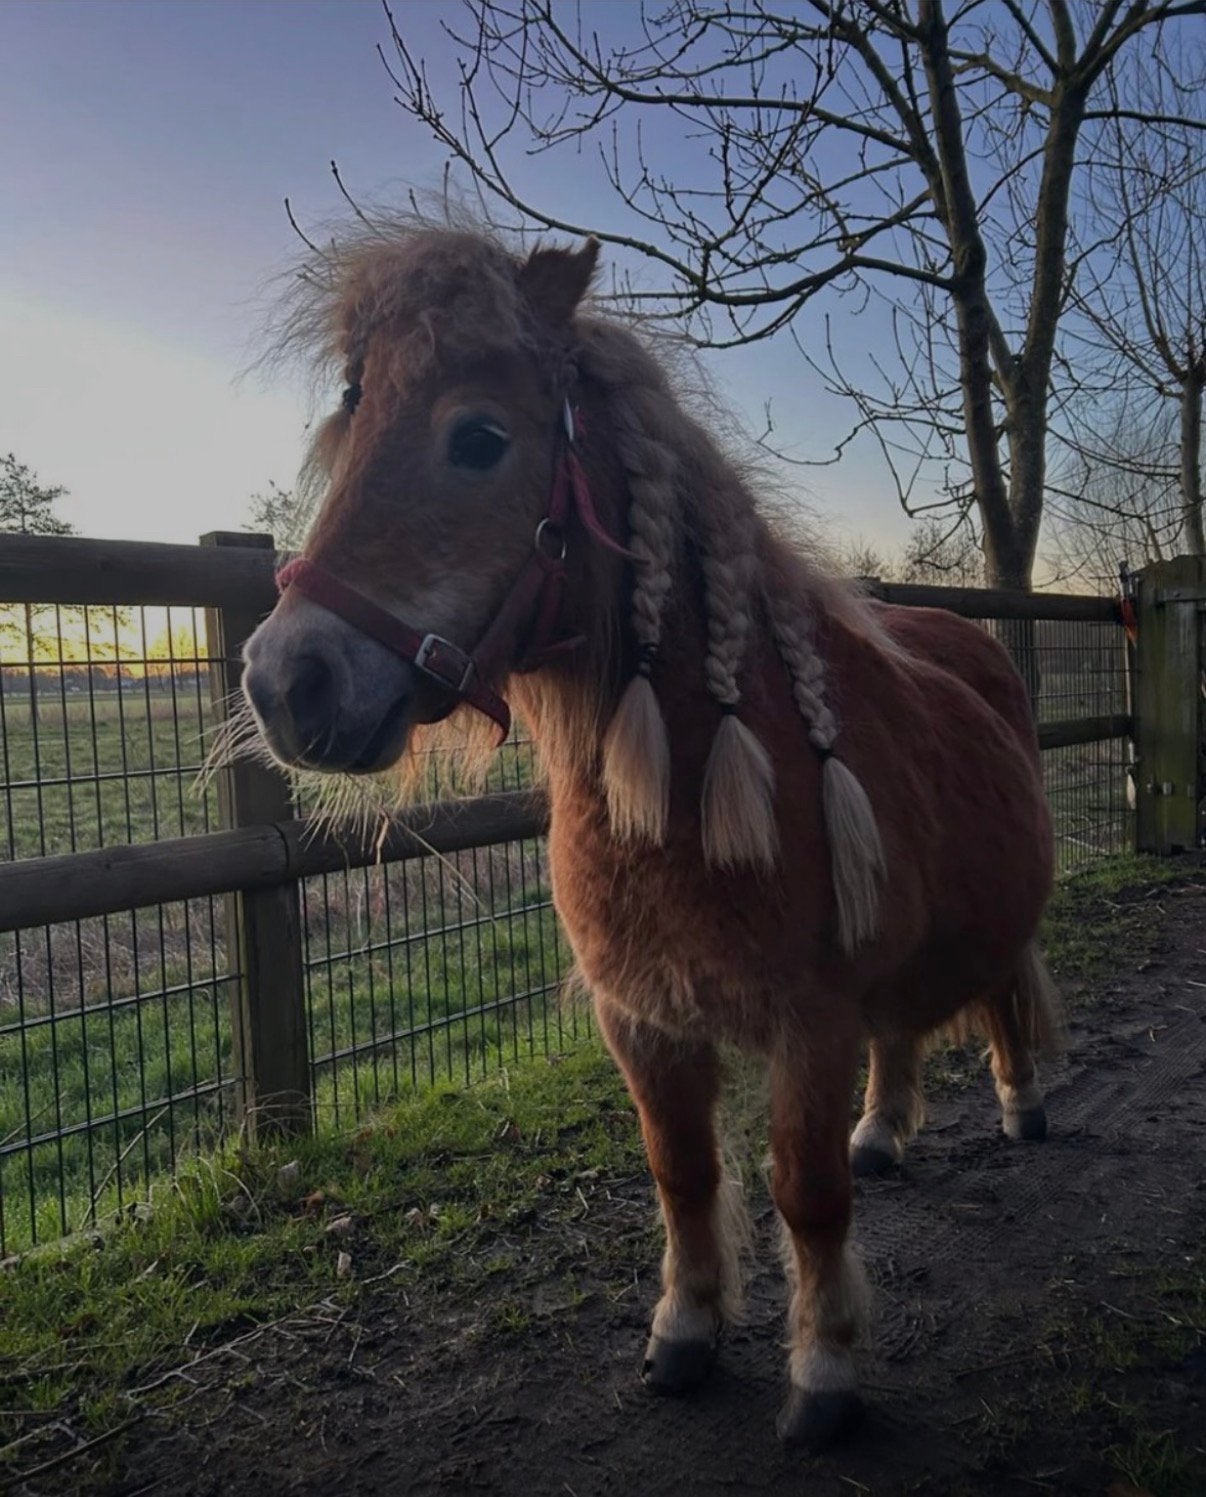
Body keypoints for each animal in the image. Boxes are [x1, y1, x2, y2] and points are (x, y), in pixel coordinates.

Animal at [241, 220, 1061, 1452]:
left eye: (478, 439)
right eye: (353, 420)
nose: (287, 681)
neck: (697, 772)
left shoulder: (809, 1022)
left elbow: (805, 1192)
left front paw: (825, 1372)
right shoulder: (643, 1020)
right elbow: (682, 1172)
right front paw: (686, 1330)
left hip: (995, 924)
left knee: (1004, 989)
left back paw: (1019, 1103)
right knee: (902, 1033)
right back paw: (885, 1127)